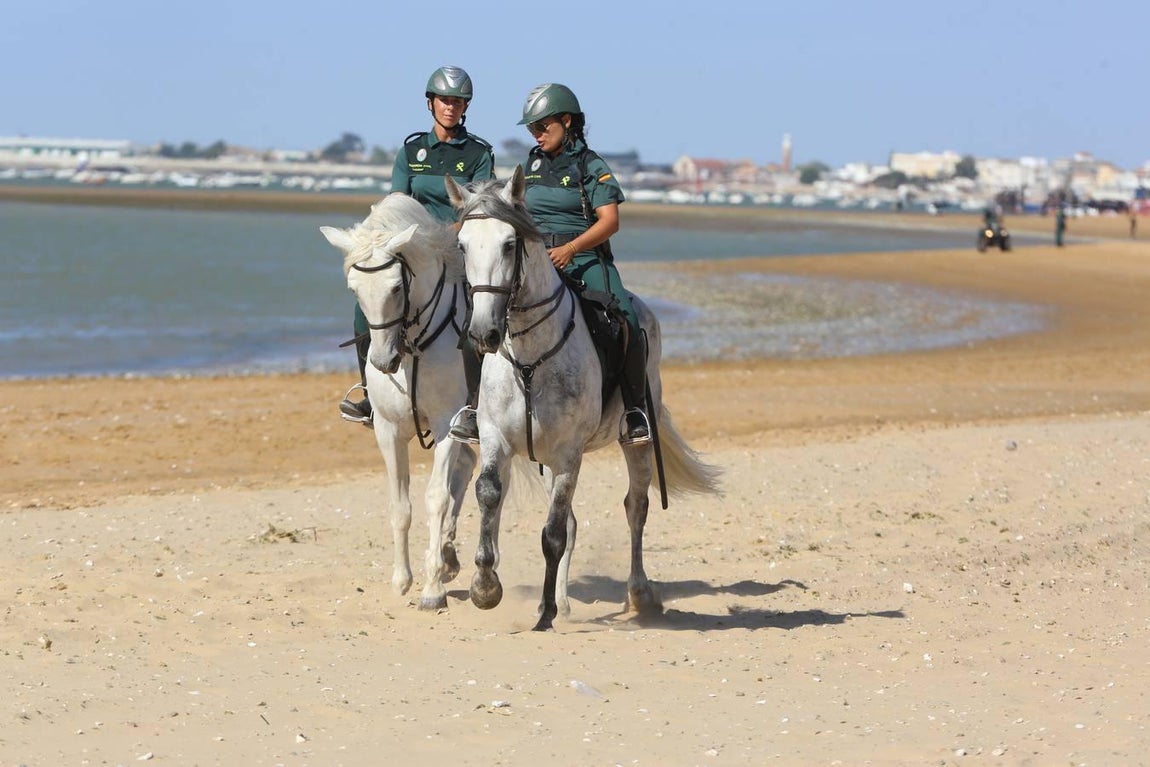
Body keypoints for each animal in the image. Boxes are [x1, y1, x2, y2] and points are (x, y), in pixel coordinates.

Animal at [320, 193, 478, 611]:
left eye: (395, 288)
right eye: (354, 290)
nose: (383, 362)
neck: (413, 346)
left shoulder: (447, 423)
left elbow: (436, 497)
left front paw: (432, 589)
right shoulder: (388, 431)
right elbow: (400, 506)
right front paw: (403, 579)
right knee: (465, 470)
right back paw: (449, 557)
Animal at [446, 167, 722, 631]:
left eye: (509, 244)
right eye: (463, 245)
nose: (483, 333)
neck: (530, 356)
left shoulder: (568, 452)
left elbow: (553, 533)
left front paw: (544, 616)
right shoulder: (496, 437)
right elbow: (489, 493)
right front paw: (486, 589)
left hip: (634, 441)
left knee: (636, 507)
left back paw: (638, 594)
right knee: (576, 522)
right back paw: (560, 601)